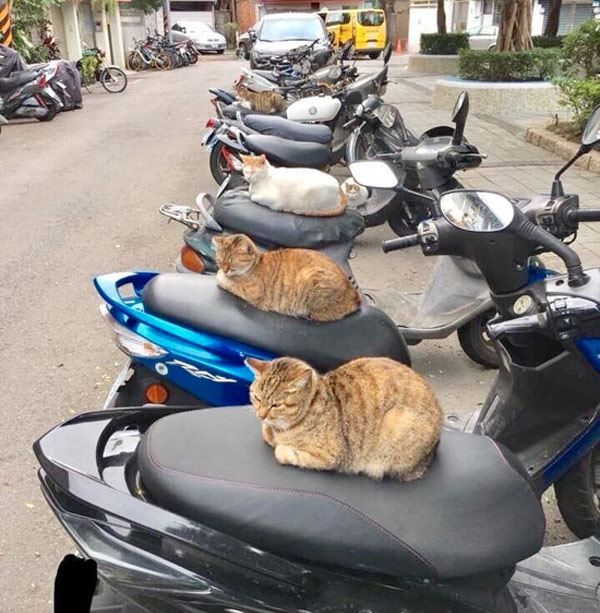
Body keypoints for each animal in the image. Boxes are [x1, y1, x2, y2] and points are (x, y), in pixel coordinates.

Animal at [213, 233, 358, 322]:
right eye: (220, 260)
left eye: (231, 263)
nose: (224, 269)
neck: (255, 265)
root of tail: (355, 295)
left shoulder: (251, 292)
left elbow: (227, 282)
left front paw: (221, 277)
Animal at [246, 356, 442, 480]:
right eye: (257, 398)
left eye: (276, 405)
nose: (260, 414)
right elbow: (268, 434)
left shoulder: (330, 456)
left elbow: (282, 450)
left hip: (397, 422)